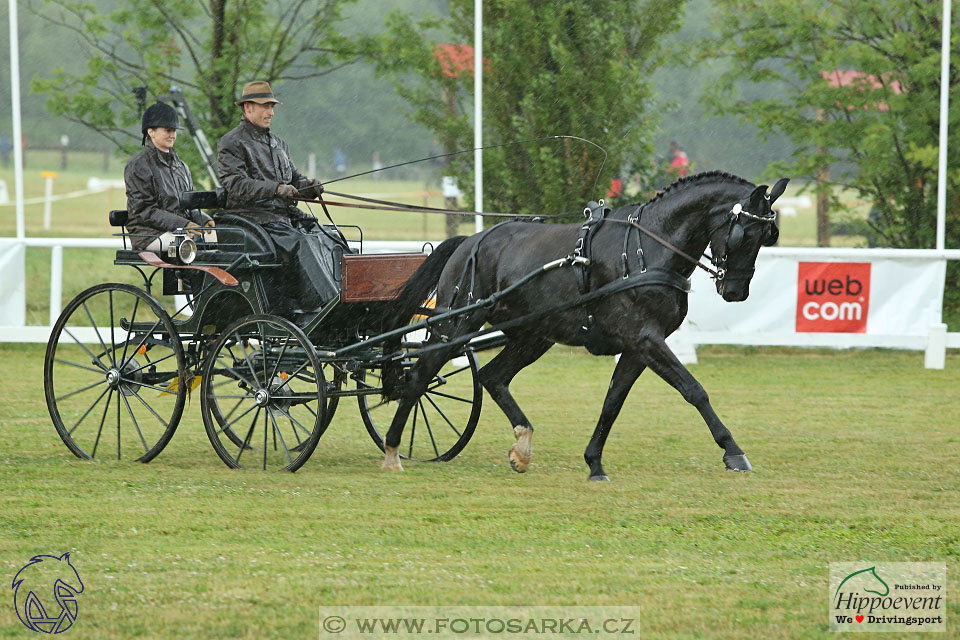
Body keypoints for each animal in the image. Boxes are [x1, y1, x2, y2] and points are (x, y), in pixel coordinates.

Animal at [380, 170, 788, 480]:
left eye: (767, 237)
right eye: (744, 234)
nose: (735, 291)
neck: (648, 248)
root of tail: (473, 240)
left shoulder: (637, 347)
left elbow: (612, 402)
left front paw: (594, 462)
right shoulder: (646, 339)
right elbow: (694, 390)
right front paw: (733, 451)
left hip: (533, 335)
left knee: (493, 377)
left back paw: (522, 447)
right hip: (457, 324)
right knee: (418, 379)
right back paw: (392, 450)